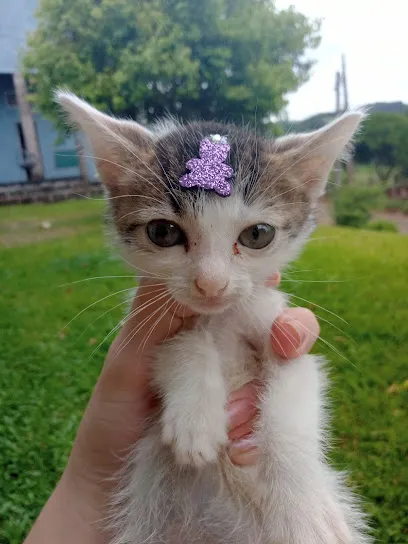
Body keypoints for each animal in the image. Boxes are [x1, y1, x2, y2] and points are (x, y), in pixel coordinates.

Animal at [57, 93, 372, 544]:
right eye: (163, 233)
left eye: (257, 235)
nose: (211, 284)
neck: (219, 320)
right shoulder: (146, 327)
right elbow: (180, 342)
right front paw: (195, 420)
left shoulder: (285, 332)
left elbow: (290, 406)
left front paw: (303, 509)